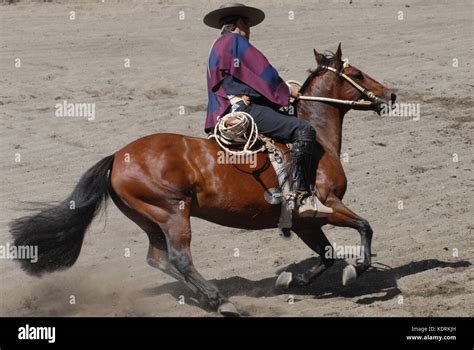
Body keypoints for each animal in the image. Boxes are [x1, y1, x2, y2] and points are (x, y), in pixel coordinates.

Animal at [11, 43, 396, 318]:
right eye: (358, 73)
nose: (390, 95)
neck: (318, 145)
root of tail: (118, 156)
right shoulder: (326, 205)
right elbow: (365, 227)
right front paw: (355, 271)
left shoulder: (303, 221)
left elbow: (327, 255)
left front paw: (292, 279)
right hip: (173, 213)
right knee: (179, 259)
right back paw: (221, 300)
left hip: (150, 218)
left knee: (158, 259)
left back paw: (206, 297)